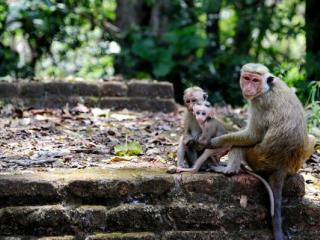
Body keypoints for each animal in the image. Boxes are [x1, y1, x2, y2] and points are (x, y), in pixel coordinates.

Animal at [208, 62, 316, 239]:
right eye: (246, 78)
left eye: (255, 80)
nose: (249, 87)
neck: (267, 88)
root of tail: (282, 166)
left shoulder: (260, 103)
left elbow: (252, 136)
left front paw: (216, 142)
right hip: (293, 163)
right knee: (312, 138)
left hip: (258, 159)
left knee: (241, 145)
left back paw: (229, 170)